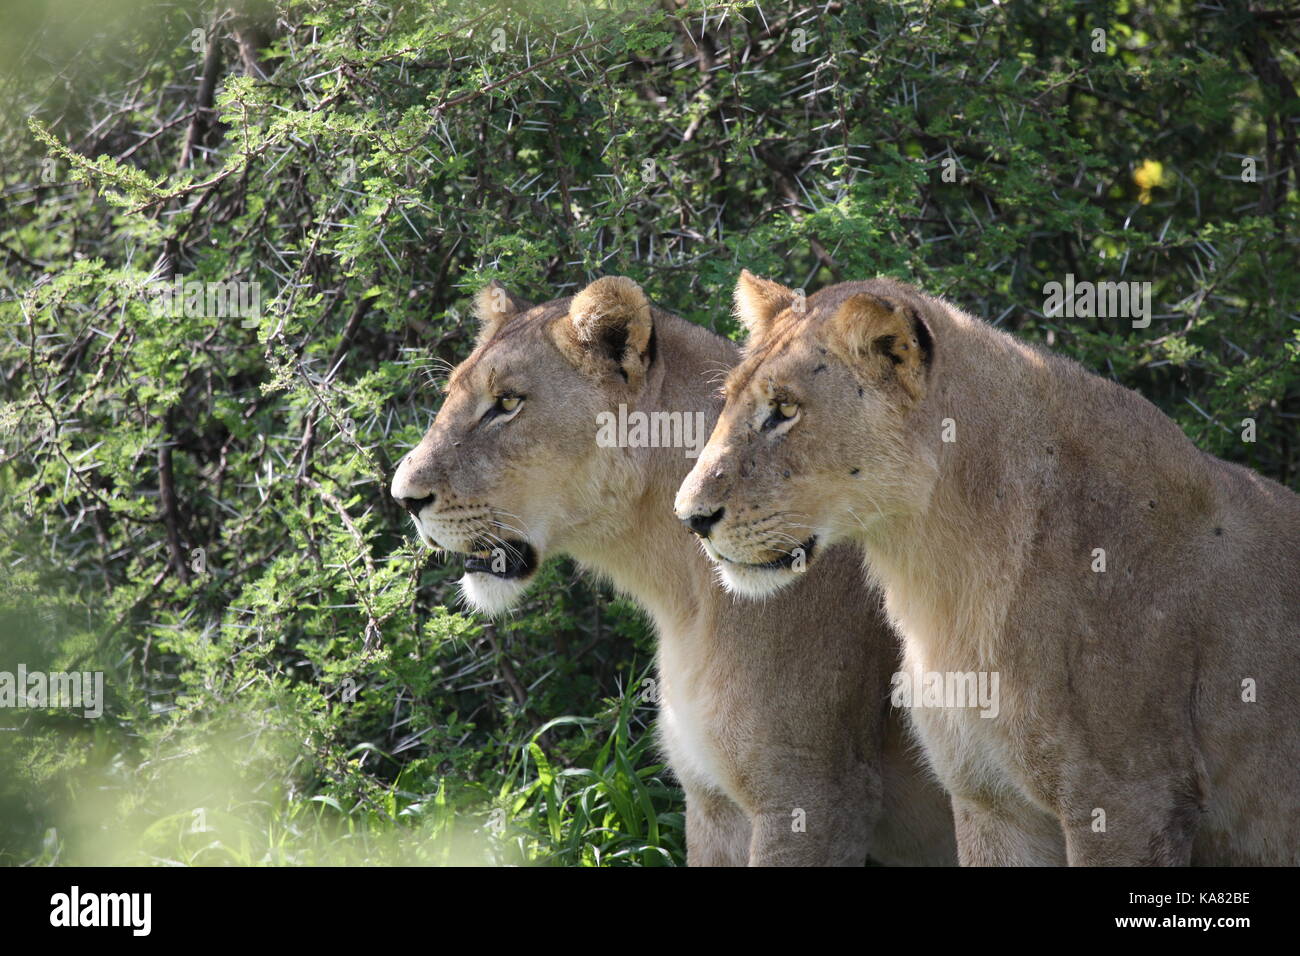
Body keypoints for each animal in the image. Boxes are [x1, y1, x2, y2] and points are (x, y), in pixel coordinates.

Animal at [390, 276, 956, 866]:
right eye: (451, 395)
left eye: (506, 403)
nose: (402, 497)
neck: (681, 594)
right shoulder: (711, 801)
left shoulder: (816, 795)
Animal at [676, 269, 1300, 866]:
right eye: (728, 400)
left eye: (784, 410)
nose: (690, 518)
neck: (942, 576)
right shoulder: (990, 799)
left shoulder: (1132, 796)